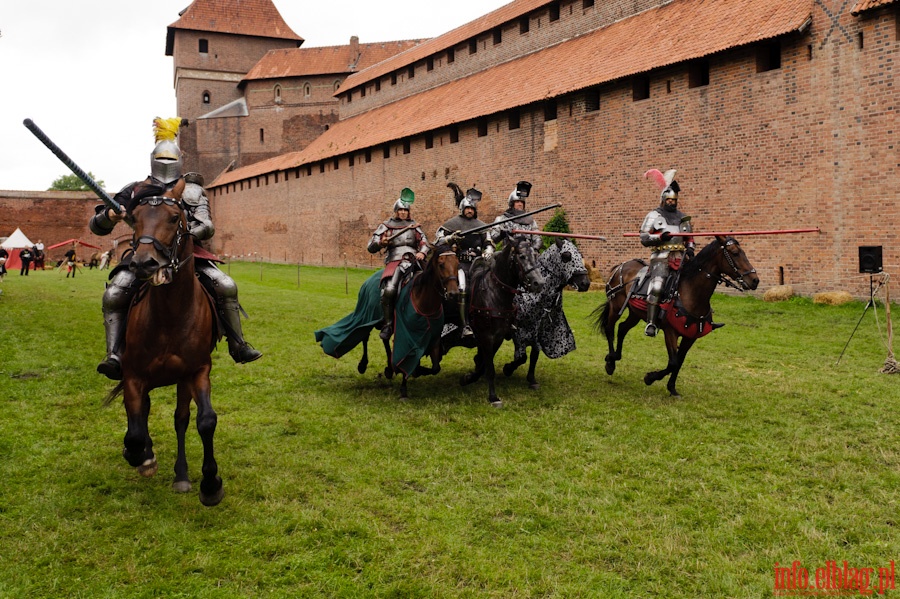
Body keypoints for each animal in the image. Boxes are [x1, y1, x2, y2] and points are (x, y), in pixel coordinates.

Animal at [101, 184, 221, 506]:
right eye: (135, 218)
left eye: (174, 218)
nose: (143, 263)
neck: (171, 314)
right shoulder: (133, 376)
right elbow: (134, 432)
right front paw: (140, 456)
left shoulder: (197, 371)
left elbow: (205, 420)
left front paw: (211, 484)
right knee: (142, 414)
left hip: (181, 381)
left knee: (180, 419)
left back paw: (181, 475)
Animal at [460, 231, 544, 408]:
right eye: (521, 256)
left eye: (536, 255)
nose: (539, 283)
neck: (496, 293)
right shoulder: (486, 337)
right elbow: (489, 368)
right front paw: (493, 397)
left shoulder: (497, 337)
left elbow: (485, 364)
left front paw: (468, 378)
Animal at [502, 237, 596, 392]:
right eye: (566, 256)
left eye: (580, 255)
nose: (585, 284)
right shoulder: (519, 332)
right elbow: (521, 358)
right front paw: (507, 369)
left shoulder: (538, 331)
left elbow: (534, 355)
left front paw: (531, 379)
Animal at [596, 236, 760, 398]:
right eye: (735, 253)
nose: (755, 280)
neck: (690, 293)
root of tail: (620, 266)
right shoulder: (670, 332)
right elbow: (673, 362)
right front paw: (650, 378)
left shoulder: (690, 337)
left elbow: (679, 361)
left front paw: (672, 388)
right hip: (616, 307)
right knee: (610, 328)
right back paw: (610, 362)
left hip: (635, 313)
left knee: (622, 328)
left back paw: (615, 356)